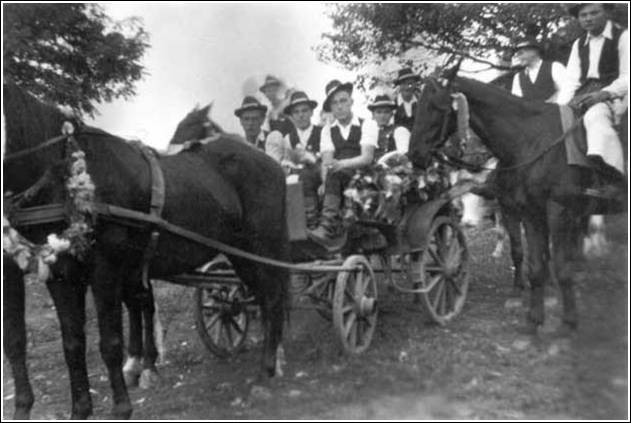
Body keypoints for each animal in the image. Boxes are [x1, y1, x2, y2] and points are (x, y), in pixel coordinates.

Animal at [1, 84, 288, 420]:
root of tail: (269, 162)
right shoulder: (61, 275)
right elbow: (71, 344)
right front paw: (80, 409)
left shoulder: (105, 269)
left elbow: (110, 343)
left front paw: (121, 406)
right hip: (241, 255)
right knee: (264, 299)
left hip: (261, 248)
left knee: (273, 298)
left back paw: (268, 369)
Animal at [408, 67, 620, 334]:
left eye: (436, 107)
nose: (415, 155)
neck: (532, 142)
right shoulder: (526, 210)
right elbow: (532, 261)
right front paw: (533, 315)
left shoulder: (557, 210)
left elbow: (560, 266)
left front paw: (569, 320)